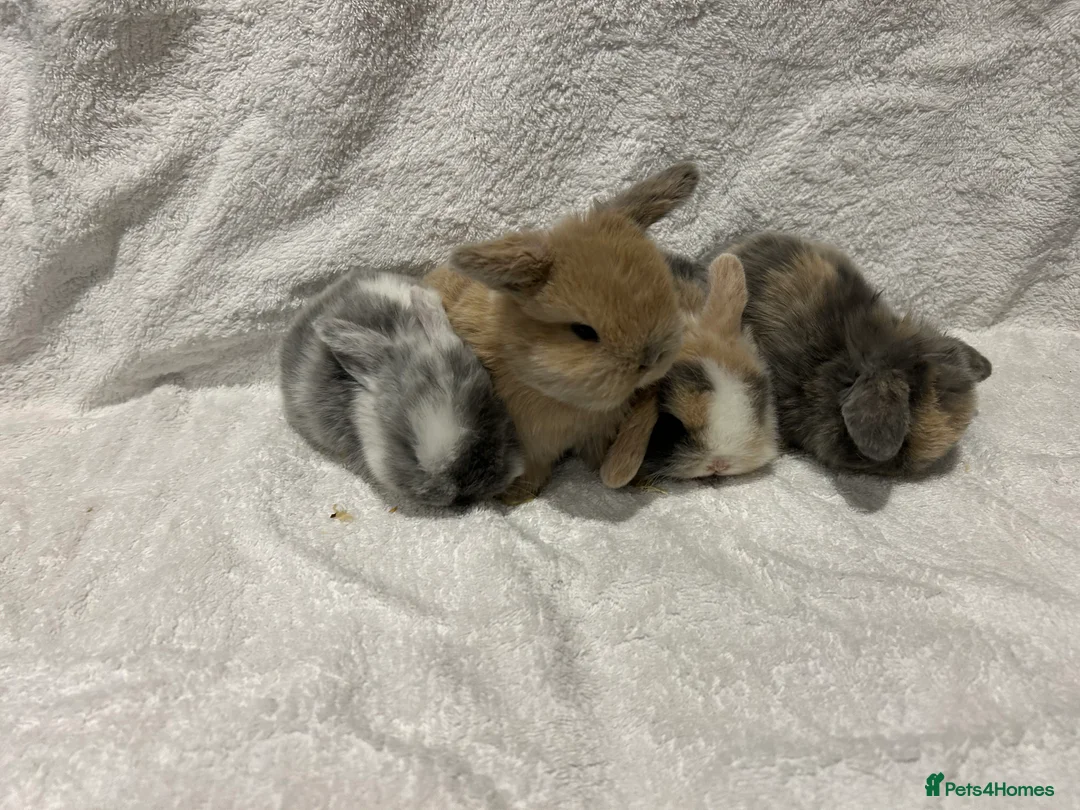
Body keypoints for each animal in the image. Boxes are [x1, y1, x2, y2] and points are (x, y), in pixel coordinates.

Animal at [424, 162, 700, 502]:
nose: (651, 360)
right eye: (583, 331)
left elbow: (599, 457)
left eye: (665, 292)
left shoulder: (599, 432)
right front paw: (514, 497)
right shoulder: (530, 445)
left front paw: (637, 482)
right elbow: (533, 471)